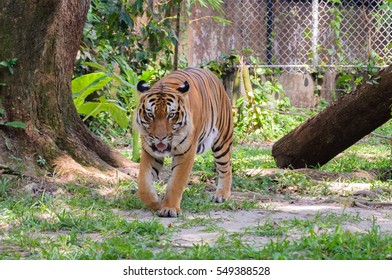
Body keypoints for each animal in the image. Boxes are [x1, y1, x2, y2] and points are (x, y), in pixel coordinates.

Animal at [134, 66, 233, 218]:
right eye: (150, 115)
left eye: (171, 115)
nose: (160, 137)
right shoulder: (150, 152)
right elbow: (143, 183)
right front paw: (156, 203)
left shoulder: (186, 152)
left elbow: (176, 182)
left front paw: (168, 208)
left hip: (223, 140)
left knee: (226, 168)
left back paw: (222, 195)